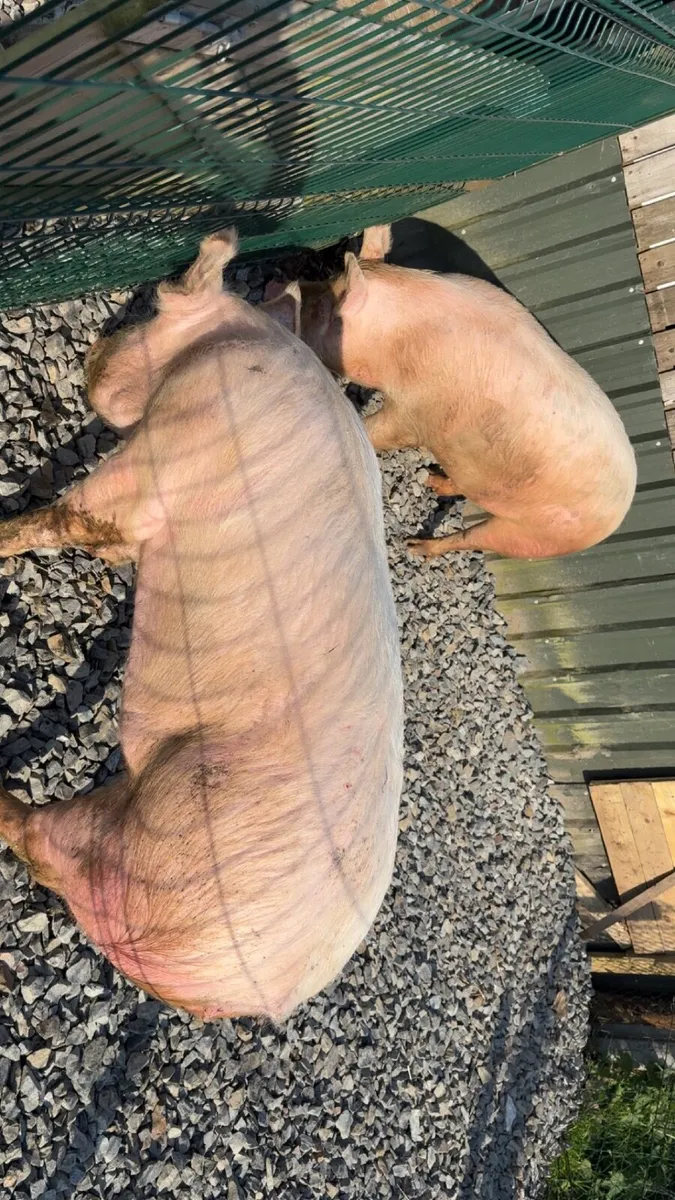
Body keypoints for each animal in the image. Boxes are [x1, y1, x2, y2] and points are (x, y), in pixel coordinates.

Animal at [0, 229, 403, 1021]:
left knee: (45, 845)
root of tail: (257, 991)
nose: (94, 354)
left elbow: (72, 520)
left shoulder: (167, 454)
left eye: (157, 302)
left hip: (155, 837)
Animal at [290, 224, 637, 560]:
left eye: (321, 308)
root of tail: (619, 515)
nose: (287, 283)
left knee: (475, 539)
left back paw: (415, 548)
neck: (395, 341)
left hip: (537, 535)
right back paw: (430, 480)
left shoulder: (419, 413)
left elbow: (381, 430)